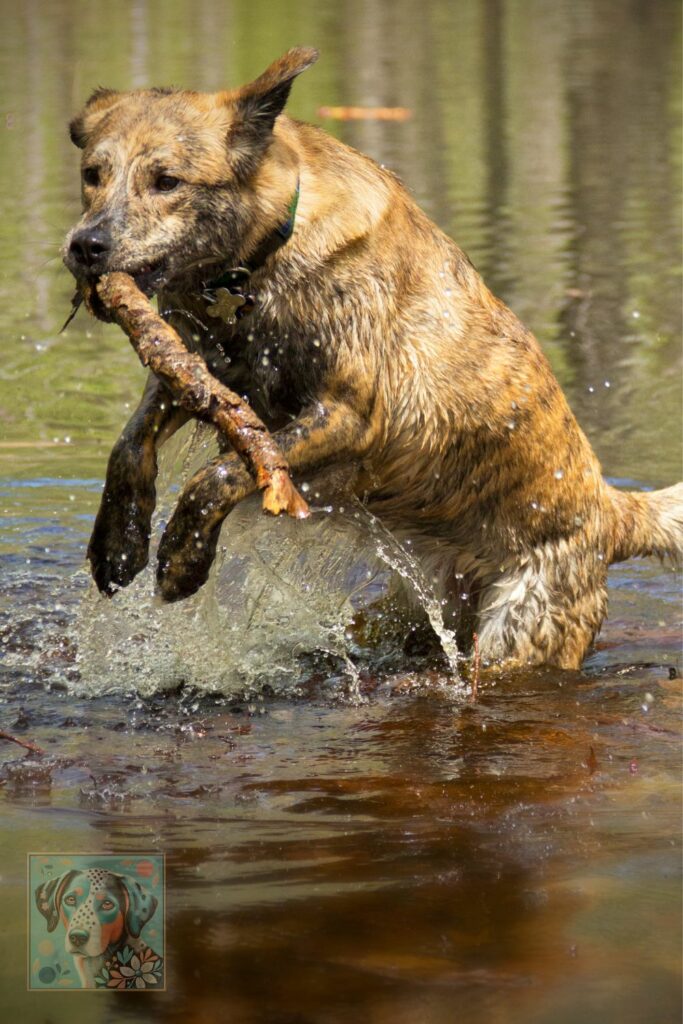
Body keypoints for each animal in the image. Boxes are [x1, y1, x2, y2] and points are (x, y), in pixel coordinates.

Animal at [61, 46, 679, 671]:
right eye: (92, 175)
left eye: (166, 181)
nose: (85, 247)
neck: (260, 259)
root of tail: (613, 512)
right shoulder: (194, 377)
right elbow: (128, 446)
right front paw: (117, 543)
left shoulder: (347, 416)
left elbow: (223, 472)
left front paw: (182, 560)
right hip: (408, 609)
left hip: (516, 634)